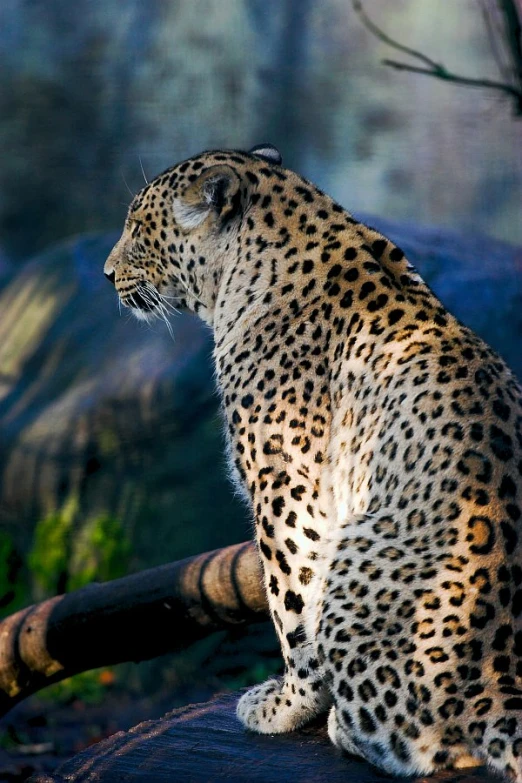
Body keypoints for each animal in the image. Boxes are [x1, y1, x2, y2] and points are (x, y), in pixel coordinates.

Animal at [104, 144, 520, 780]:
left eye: (136, 226)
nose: (106, 273)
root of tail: (497, 686)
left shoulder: (285, 484)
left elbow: (292, 604)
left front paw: (286, 704)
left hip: (358, 546)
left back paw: (344, 727)